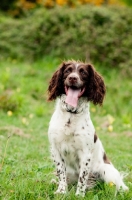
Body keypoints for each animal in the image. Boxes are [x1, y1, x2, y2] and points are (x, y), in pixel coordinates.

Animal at [47, 60, 128, 196]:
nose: (73, 78)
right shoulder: (55, 149)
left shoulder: (85, 153)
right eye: (68, 71)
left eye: (83, 72)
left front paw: (79, 195)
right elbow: (61, 172)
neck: (71, 115)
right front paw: (62, 191)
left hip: (107, 171)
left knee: (118, 187)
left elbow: (82, 177)